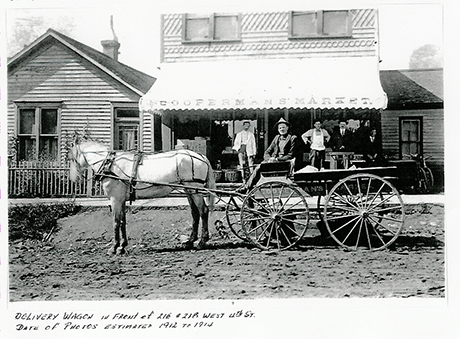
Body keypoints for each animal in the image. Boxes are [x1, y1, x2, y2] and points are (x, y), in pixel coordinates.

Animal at [69, 139, 216, 254]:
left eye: (71, 157)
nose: (72, 179)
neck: (110, 165)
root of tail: (201, 156)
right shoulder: (121, 200)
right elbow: (122, 222)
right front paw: (122, 246)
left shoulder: (115, 199)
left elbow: (116, 222)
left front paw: (114, 247)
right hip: (189, 190)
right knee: (195, 213)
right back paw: (190, 241)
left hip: (194, 189)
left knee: (203, 211)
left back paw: (202, 242)